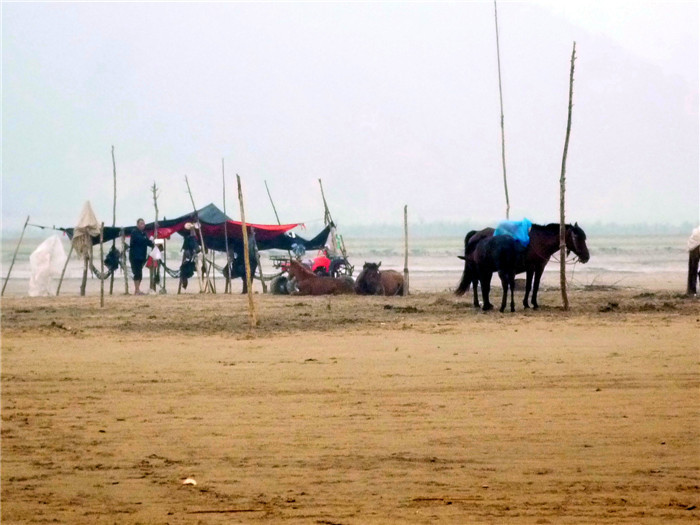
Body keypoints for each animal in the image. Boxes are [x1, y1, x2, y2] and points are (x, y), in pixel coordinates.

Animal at [454, 223, 592, 310]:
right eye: (576, 237)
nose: (586, 257)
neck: (538, 242)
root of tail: (475, 234)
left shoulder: (539, 267)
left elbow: (535, 285)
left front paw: (531, 303)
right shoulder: (531, 267)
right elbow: (529, 286)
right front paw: (529, 304)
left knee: (481, 283)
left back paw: (485, 304)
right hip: (476, 268)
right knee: (476, 283)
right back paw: (478, 304)